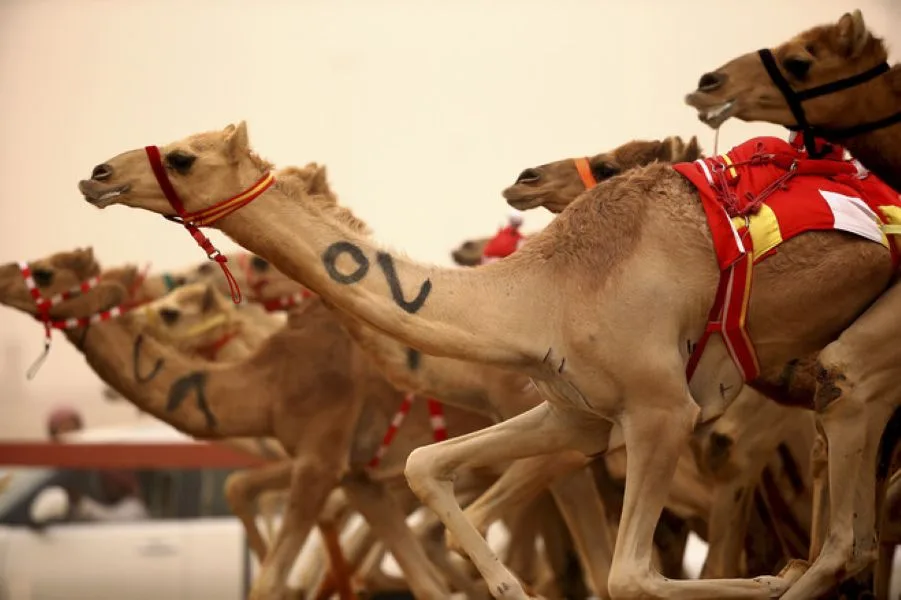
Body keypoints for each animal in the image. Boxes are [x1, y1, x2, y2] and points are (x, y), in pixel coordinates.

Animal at [0, 249, 503, 600]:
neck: (272, 383)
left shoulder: (319, 461)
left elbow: (270, 580)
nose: (3, 274)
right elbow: (424, 583)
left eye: (44, 272)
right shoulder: (359, 477)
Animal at [78, 121, 901, 599]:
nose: (97, 175)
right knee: (856, 535)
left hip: (857, 354)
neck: (541, 291)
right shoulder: (575, 414)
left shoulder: (663, 409)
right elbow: (424, 469)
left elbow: (628, 575)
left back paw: (784, 573)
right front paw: (509, 589)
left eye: (182, 157)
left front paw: (764, 576)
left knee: (841, 517)